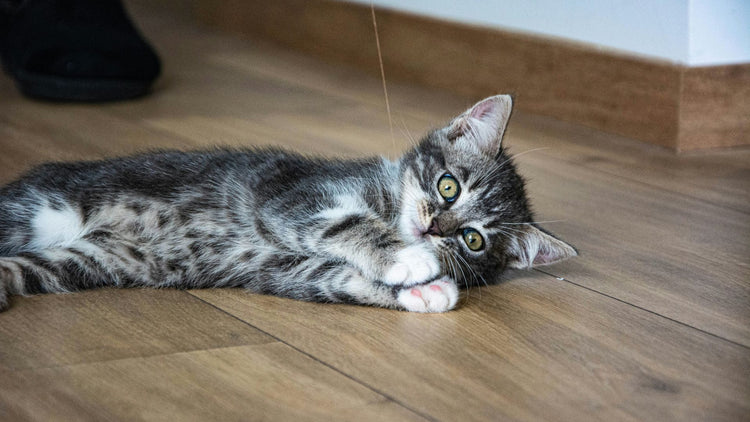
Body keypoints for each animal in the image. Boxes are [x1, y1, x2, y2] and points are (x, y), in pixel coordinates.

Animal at [0, 96, 580, 314]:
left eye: (473, 239)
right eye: (448, 187)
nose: (435, 228)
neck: (388, 202)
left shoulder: (279, 266)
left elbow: (336, 276)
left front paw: (427, 289)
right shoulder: (291, 196)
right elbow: (345, 225)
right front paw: (410, 261)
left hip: (76, 262)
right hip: (40, 210)